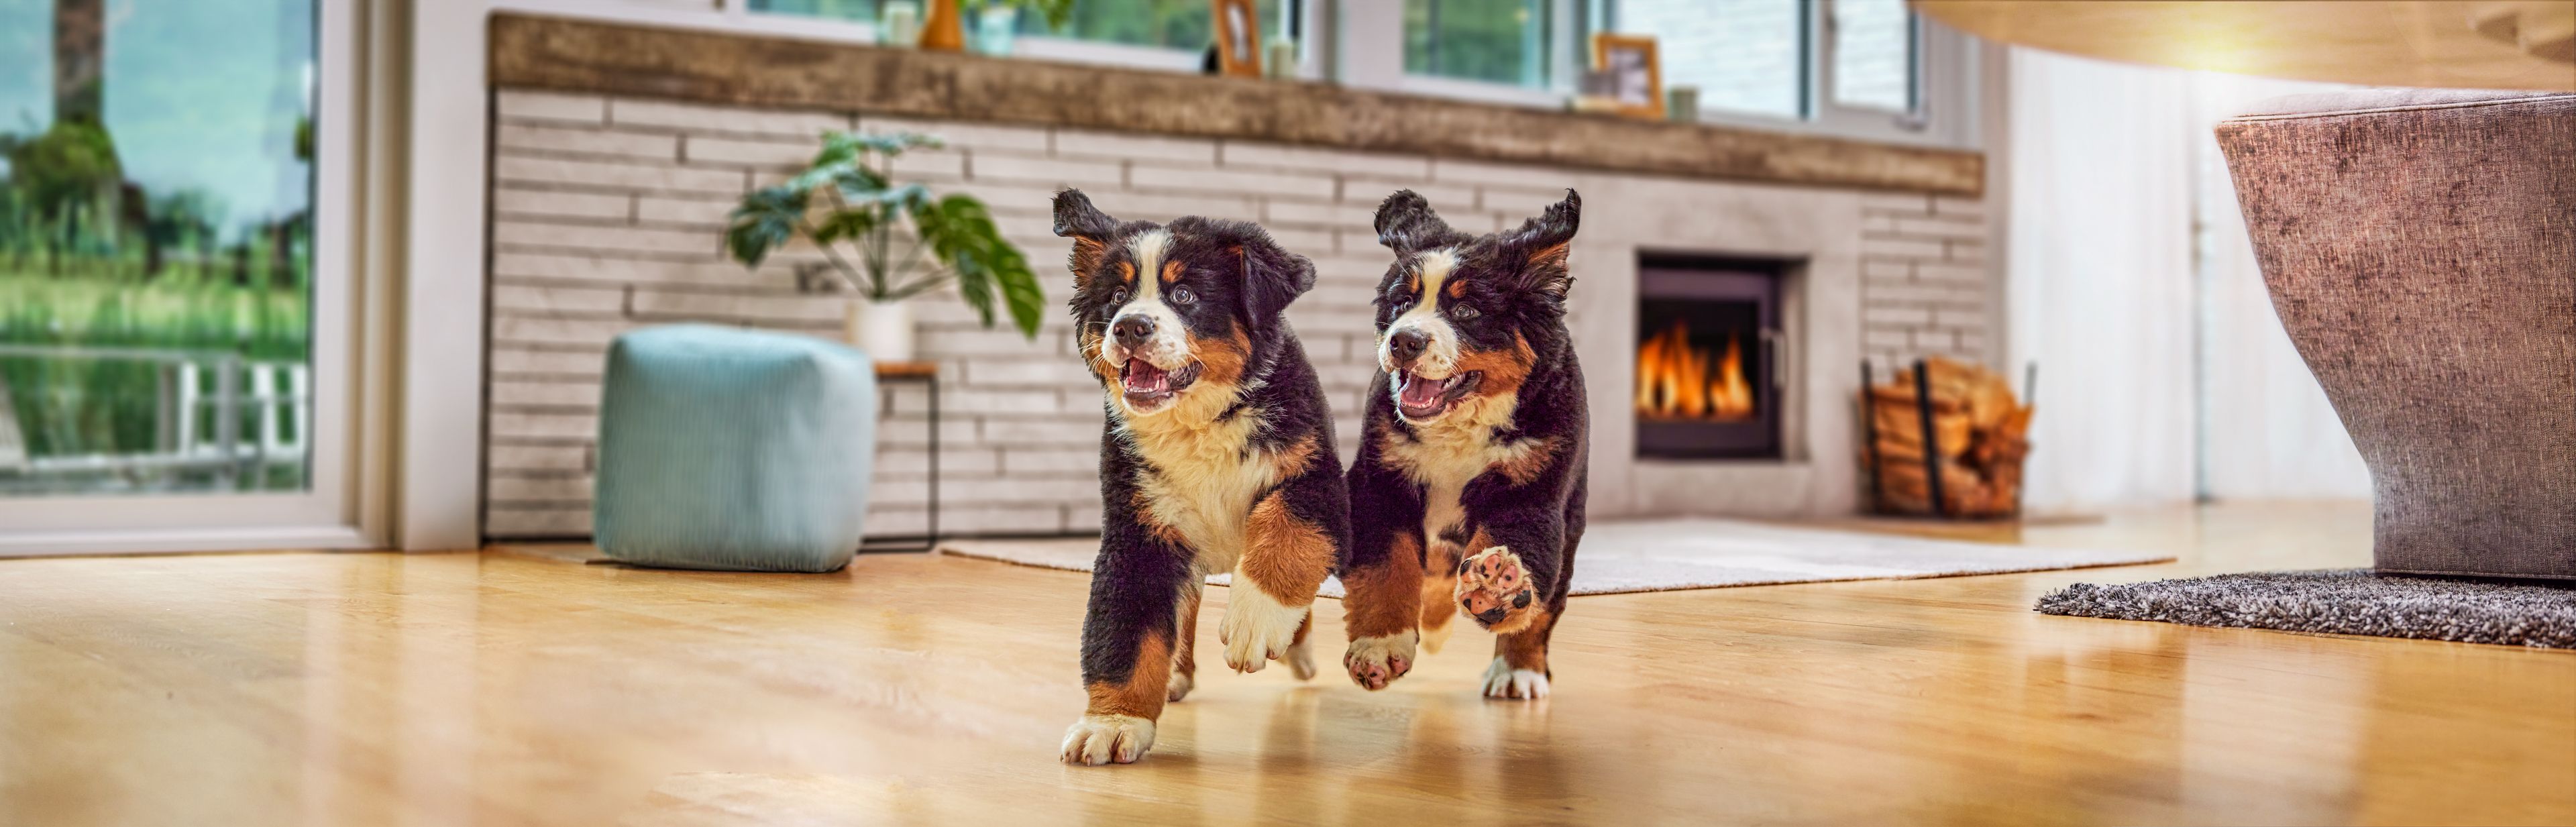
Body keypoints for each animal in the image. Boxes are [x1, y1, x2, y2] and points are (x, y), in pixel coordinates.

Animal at [1046, 190, 1350, 762]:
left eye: (1184, 294)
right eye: (1117, 295)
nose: (1130, 327)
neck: (1199, 423)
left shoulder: (1313, 477)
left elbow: (1287, 533)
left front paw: (1257, 620)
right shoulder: (1139, 529)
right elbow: (1125, 630)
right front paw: (1113, 721)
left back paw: (1294, 647)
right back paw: (1177, 673)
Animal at [1339, 190, 1576, 700]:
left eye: (1467, 311)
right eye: (1403, 302)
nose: (1404, 341)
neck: (1457, 428)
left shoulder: (1530, 493)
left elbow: (1521, 558)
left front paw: (1496, 590)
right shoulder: (1382, 482)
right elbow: (1387, 569)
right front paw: (1380, 646)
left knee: (1544, 606)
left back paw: (1516, 668)